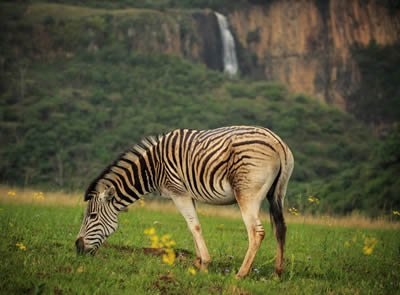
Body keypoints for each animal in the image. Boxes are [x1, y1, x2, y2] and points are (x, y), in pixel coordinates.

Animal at [76, 126, 294, 278]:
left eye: (92, 216)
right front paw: (197, 262)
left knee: (256, 232)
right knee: (280, 228)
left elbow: (194, 226)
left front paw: (204, 264)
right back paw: (278, 273)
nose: (77, 248)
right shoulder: (188, 194)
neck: (153, 168)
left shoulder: (178, 192)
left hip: (247, 194)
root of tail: (278, 142)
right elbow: (192, 226)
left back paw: (241, 274)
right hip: (278, 193)